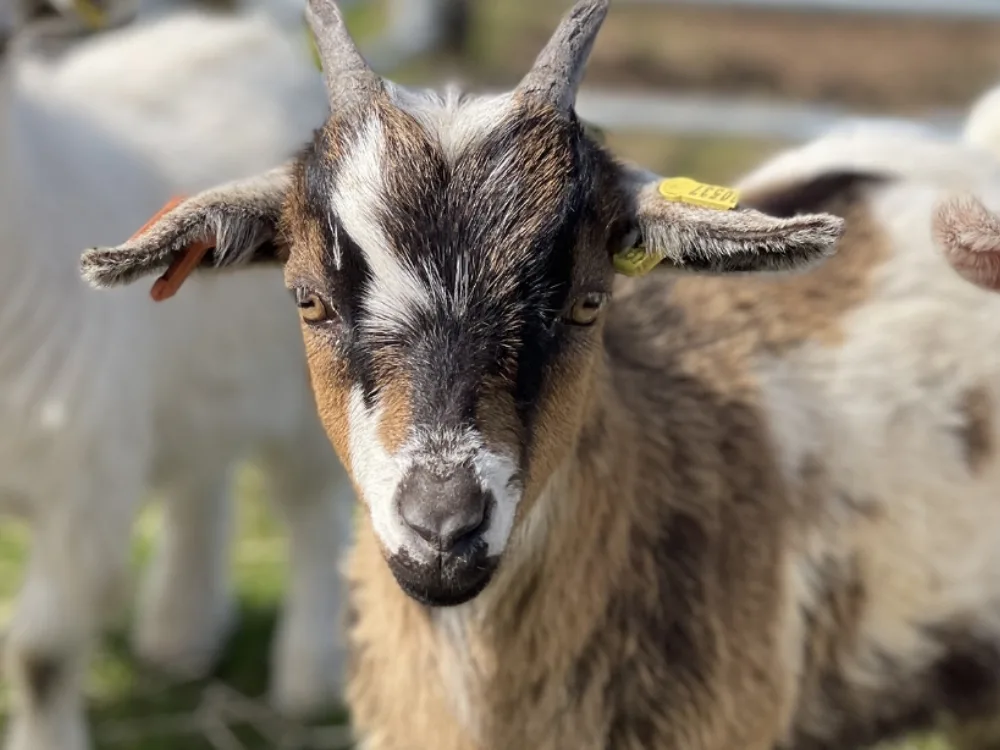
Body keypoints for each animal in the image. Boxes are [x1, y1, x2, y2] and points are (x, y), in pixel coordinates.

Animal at [1, 4, 352, 749]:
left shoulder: (85, 487)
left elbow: (40, 655)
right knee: (202, 479)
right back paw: (180, 634)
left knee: (311, 513)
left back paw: (311, 676)